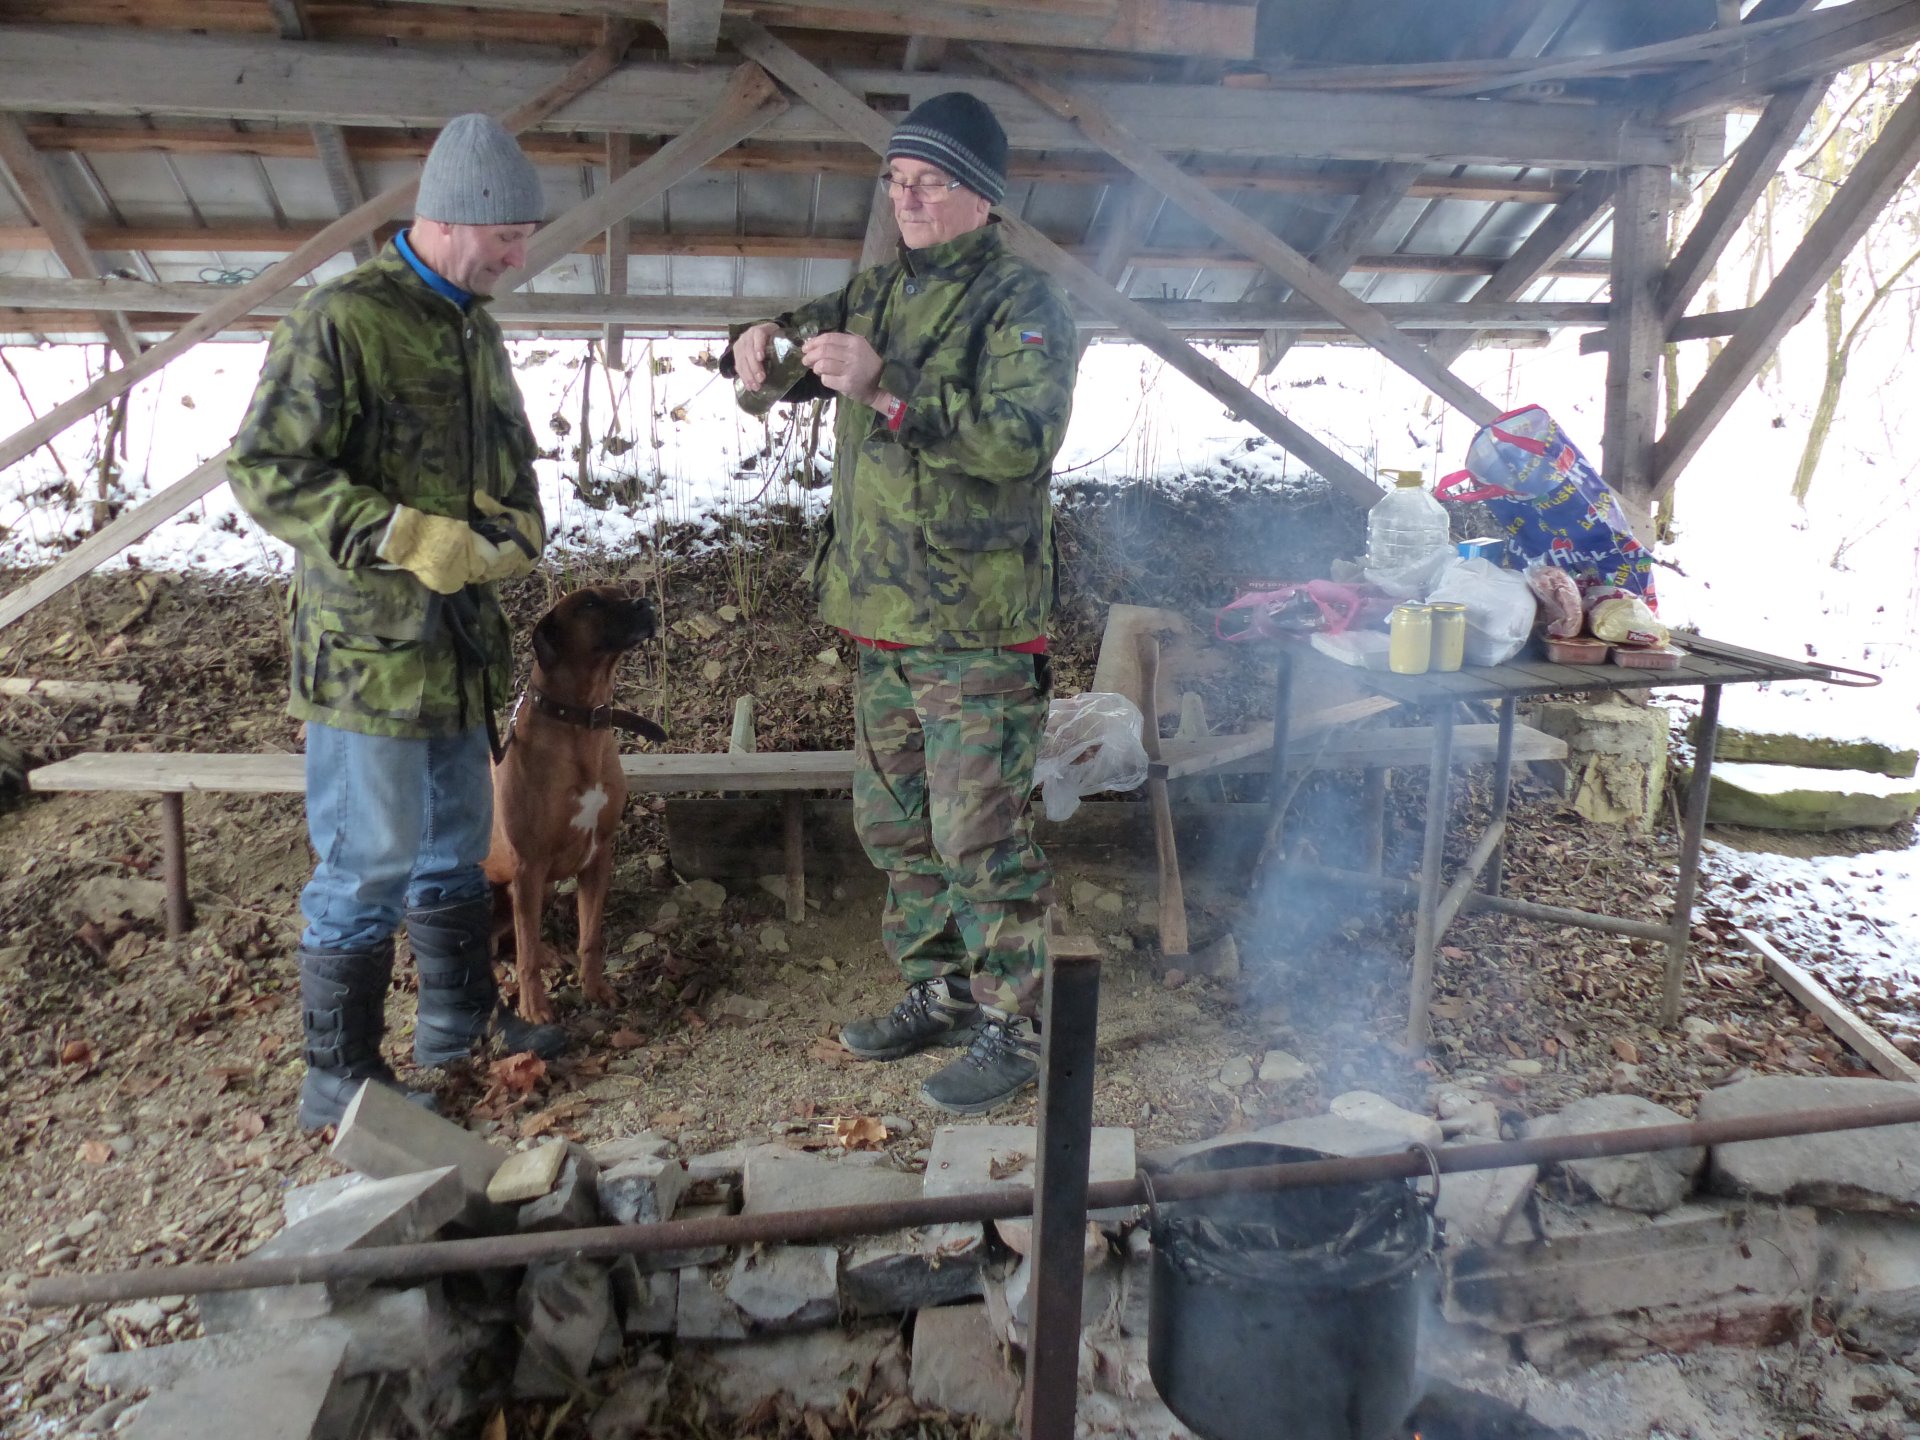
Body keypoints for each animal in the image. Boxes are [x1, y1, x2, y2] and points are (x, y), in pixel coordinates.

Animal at [484, 585, 663, 1024]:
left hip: (538, 888)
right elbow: (526, 956)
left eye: (623, 594)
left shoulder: (598, 855)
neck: (581, 721)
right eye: (590, 604)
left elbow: (590, 935)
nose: (645, 603)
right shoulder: (528, 866)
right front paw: (534, 1008)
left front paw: (596, 989)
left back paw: (550, 953)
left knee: (512, 937)